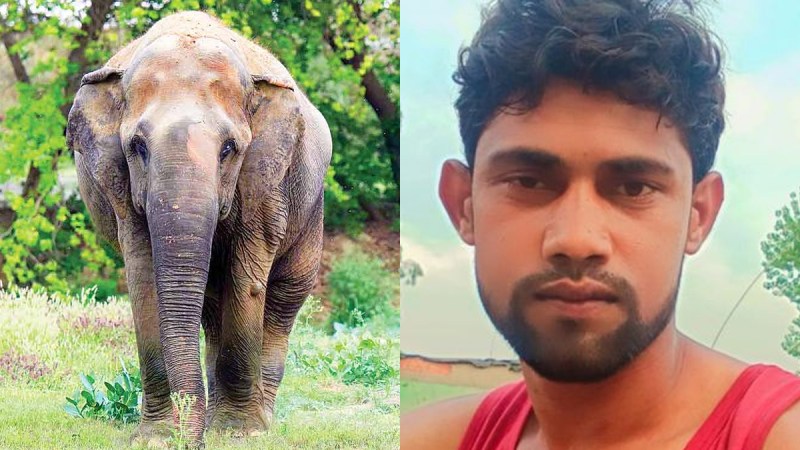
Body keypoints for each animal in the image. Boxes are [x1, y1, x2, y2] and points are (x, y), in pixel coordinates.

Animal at [67, 11, 331, 447]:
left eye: (229, 149)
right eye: (138, 147)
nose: (192, 442)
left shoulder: (264, 182)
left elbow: (247, 278)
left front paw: (240, 432)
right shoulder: (121, 189)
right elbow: (143, 277)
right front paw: (157, 437)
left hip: (310, 209)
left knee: (284, 298)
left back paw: (261, 419)